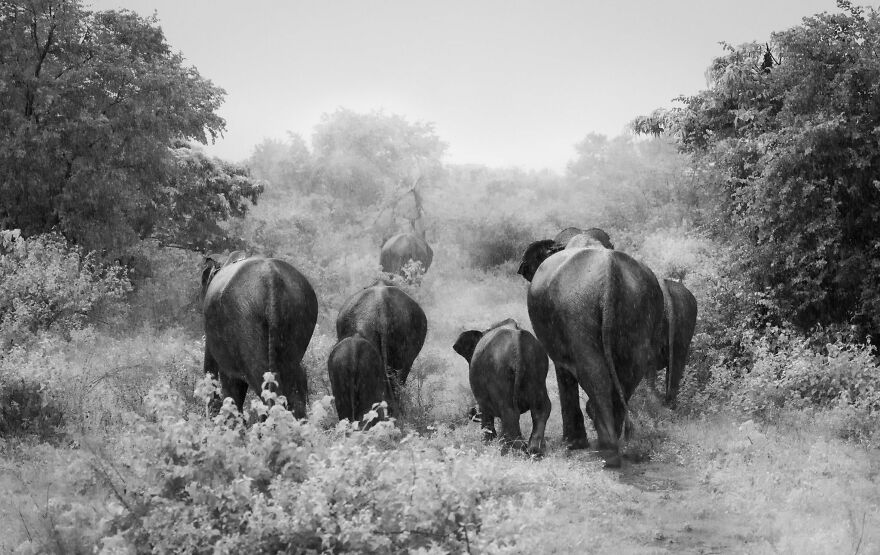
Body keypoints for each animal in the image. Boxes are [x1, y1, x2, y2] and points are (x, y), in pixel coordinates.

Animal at [454, 318, 552, 456]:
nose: (471, 412)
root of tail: (518, 342)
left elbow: (486, 413)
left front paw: (487, 444)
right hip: (537, 369)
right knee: (541, 408)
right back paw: (534, 451)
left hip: (499, 370)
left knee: (509, 411)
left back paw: (513, 450)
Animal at [516, 241, 668, 466]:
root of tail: (610, 271)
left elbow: (564, 371)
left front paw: (572, 444)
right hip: (639, 308)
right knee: (631, 369)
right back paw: (614, 441)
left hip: (577, 310)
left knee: (593, 370)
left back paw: (608, 451)